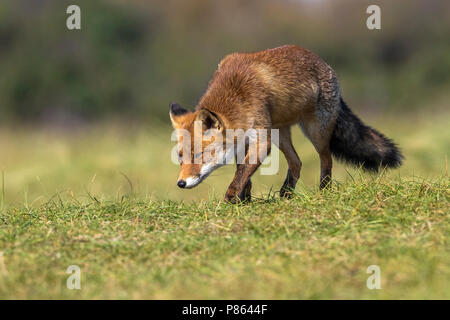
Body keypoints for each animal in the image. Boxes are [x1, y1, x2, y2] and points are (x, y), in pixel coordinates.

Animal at [171, 44, 402, 202]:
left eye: (199, 155)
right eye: (181, 158)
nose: (180, 183)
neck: (236, 95)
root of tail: (323, 62)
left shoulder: (261, 142)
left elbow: (242, 171)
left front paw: (232, 197)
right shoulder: (243, 141)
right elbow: (244, 172)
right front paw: (244, 199)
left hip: (315, 132)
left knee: (326, 160)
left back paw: (323, 191)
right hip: (279, 134)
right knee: (297, 163)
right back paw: (286, 194)